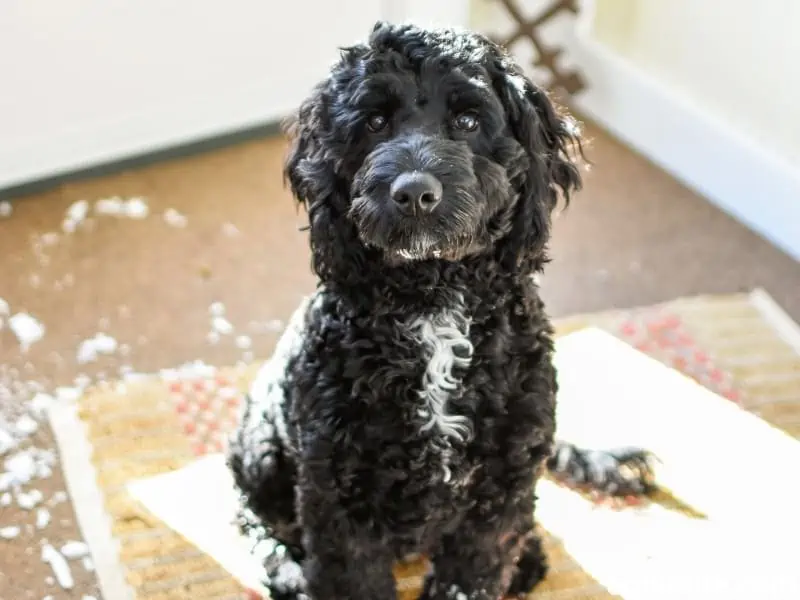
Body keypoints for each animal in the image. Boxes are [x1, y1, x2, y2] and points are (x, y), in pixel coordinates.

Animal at [228, 22, 652, 600]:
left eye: (469, 121)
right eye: (375, 121)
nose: (414, 191)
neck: (434, 302)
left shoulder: (497, 497)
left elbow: (475, 570)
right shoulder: (337, 499)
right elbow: (350, 575)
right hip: (262, 452)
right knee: (255, 517)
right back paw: (287, 570)